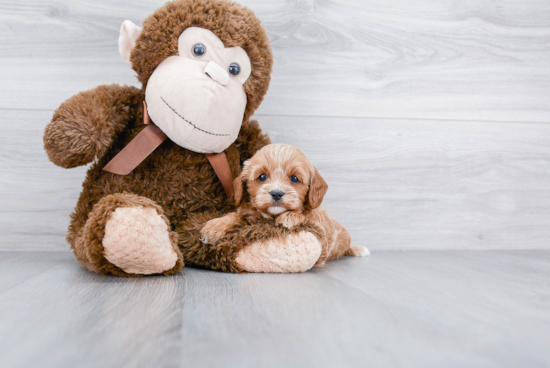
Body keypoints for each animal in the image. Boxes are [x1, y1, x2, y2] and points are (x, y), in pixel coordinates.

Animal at [199, 142, 370, 266]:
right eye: (262, 177)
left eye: (294, 178)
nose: (276, 193)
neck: (271, 216)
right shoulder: (248, 214)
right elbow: (235, 215)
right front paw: (214, 226)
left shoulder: (319, 227)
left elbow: (306, 216)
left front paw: (289, 217)